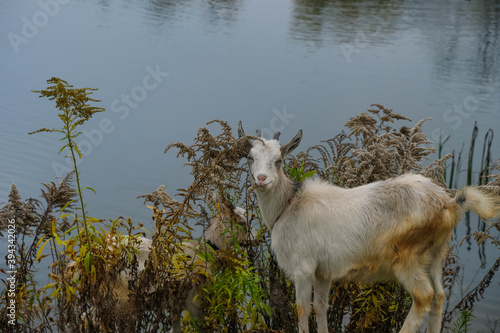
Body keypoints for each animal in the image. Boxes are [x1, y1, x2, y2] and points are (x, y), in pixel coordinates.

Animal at [237, 122, 500, 332]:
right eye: (250, 158)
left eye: (279, 161)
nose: (261, 179)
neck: (288, 206)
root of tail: (448, 204)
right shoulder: (323, 272)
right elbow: (321, 307)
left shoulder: (303, 268)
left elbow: (302, 311)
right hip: (435, 255)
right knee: (439, 296)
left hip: (408, 257)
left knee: (424, 297)